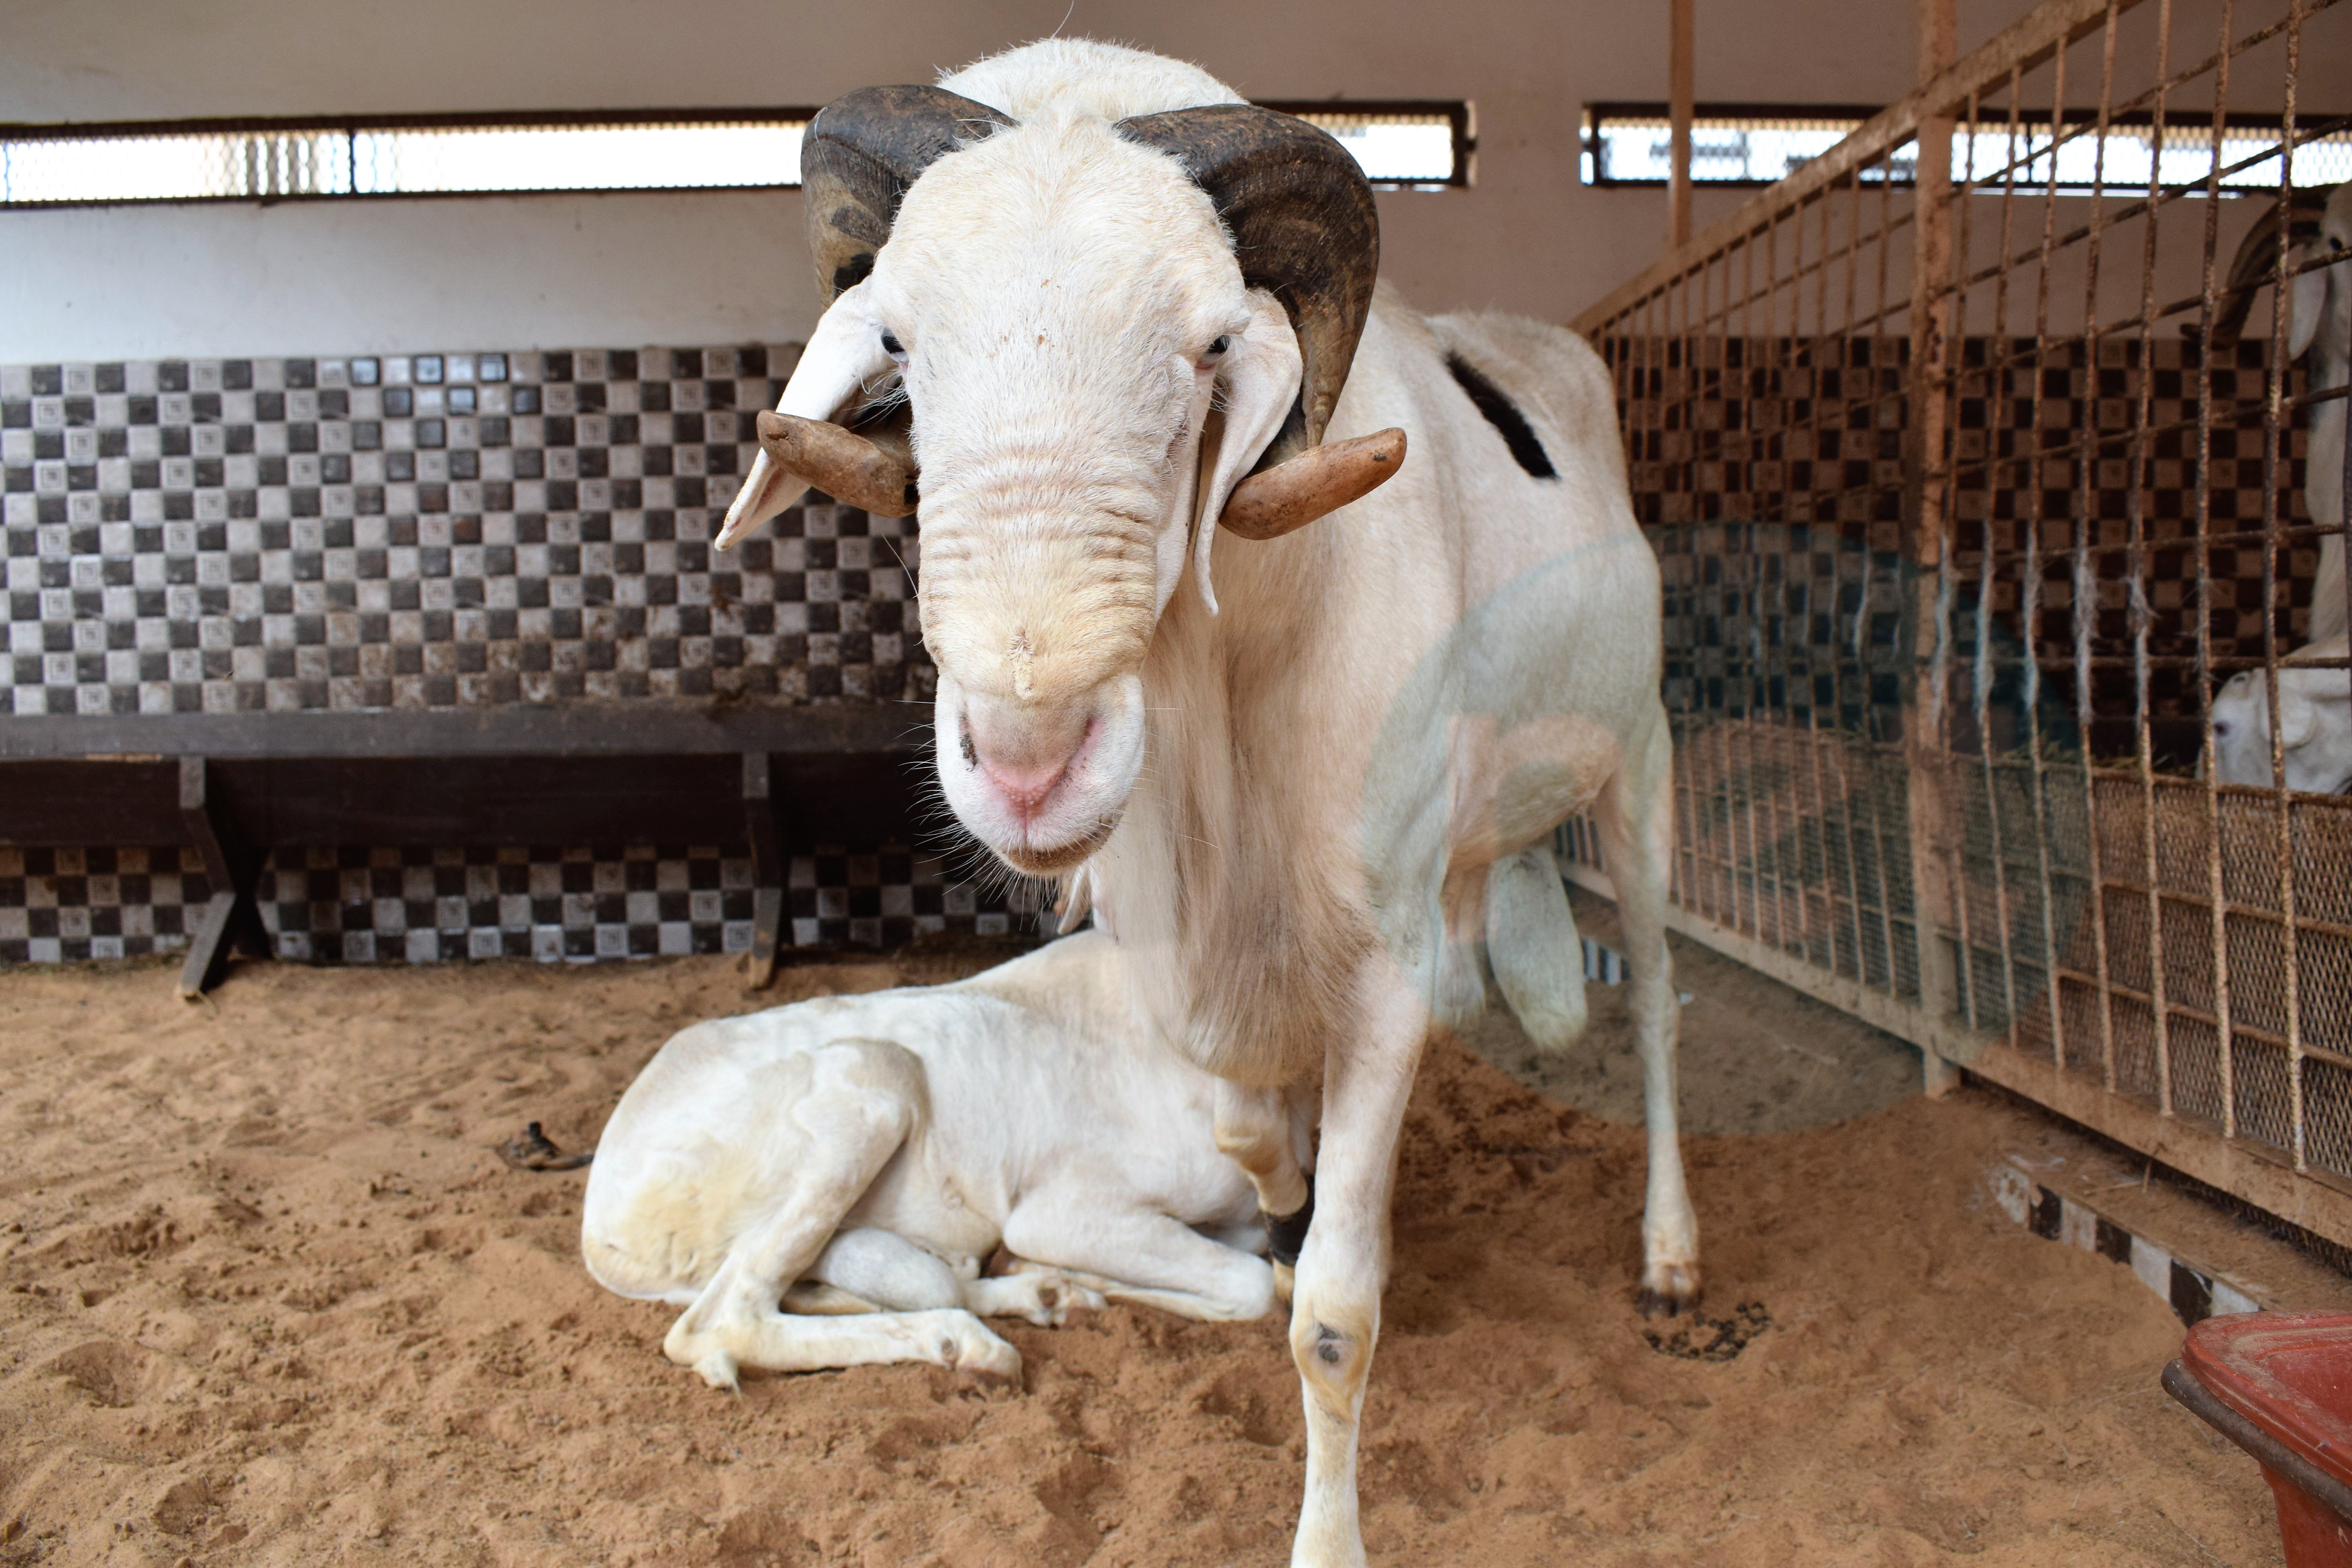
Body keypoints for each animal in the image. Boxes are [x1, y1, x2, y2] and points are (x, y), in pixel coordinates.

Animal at [580, 928, 1277, 1391]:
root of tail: (599, 1227)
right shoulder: (1065, 1211)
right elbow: (1256, 1285)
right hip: (876, 1076)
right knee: (726, 1322)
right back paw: (967, 1343)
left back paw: (1041, 1294)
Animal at [713, 40, 1693, 1566]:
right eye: (900, 350)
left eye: (1212, 353)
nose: (1029, 757)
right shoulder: (1179, 939)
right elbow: (1246, 1124)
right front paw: (1279, 1191)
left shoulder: (1385, 964)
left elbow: (1336, 1319)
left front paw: (1328, 1528)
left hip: (1636, 758)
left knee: (1651, 994)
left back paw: (1667, 1252)